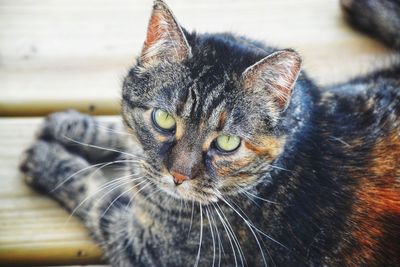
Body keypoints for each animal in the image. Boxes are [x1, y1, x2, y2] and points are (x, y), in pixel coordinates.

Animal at [21, 0, 400, 266]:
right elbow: (123, 142)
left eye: (227, 143)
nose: (177, 176)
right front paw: (71, 126)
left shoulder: (143, 247)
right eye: (164, 119)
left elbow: (93, 191)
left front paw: (47, 159)